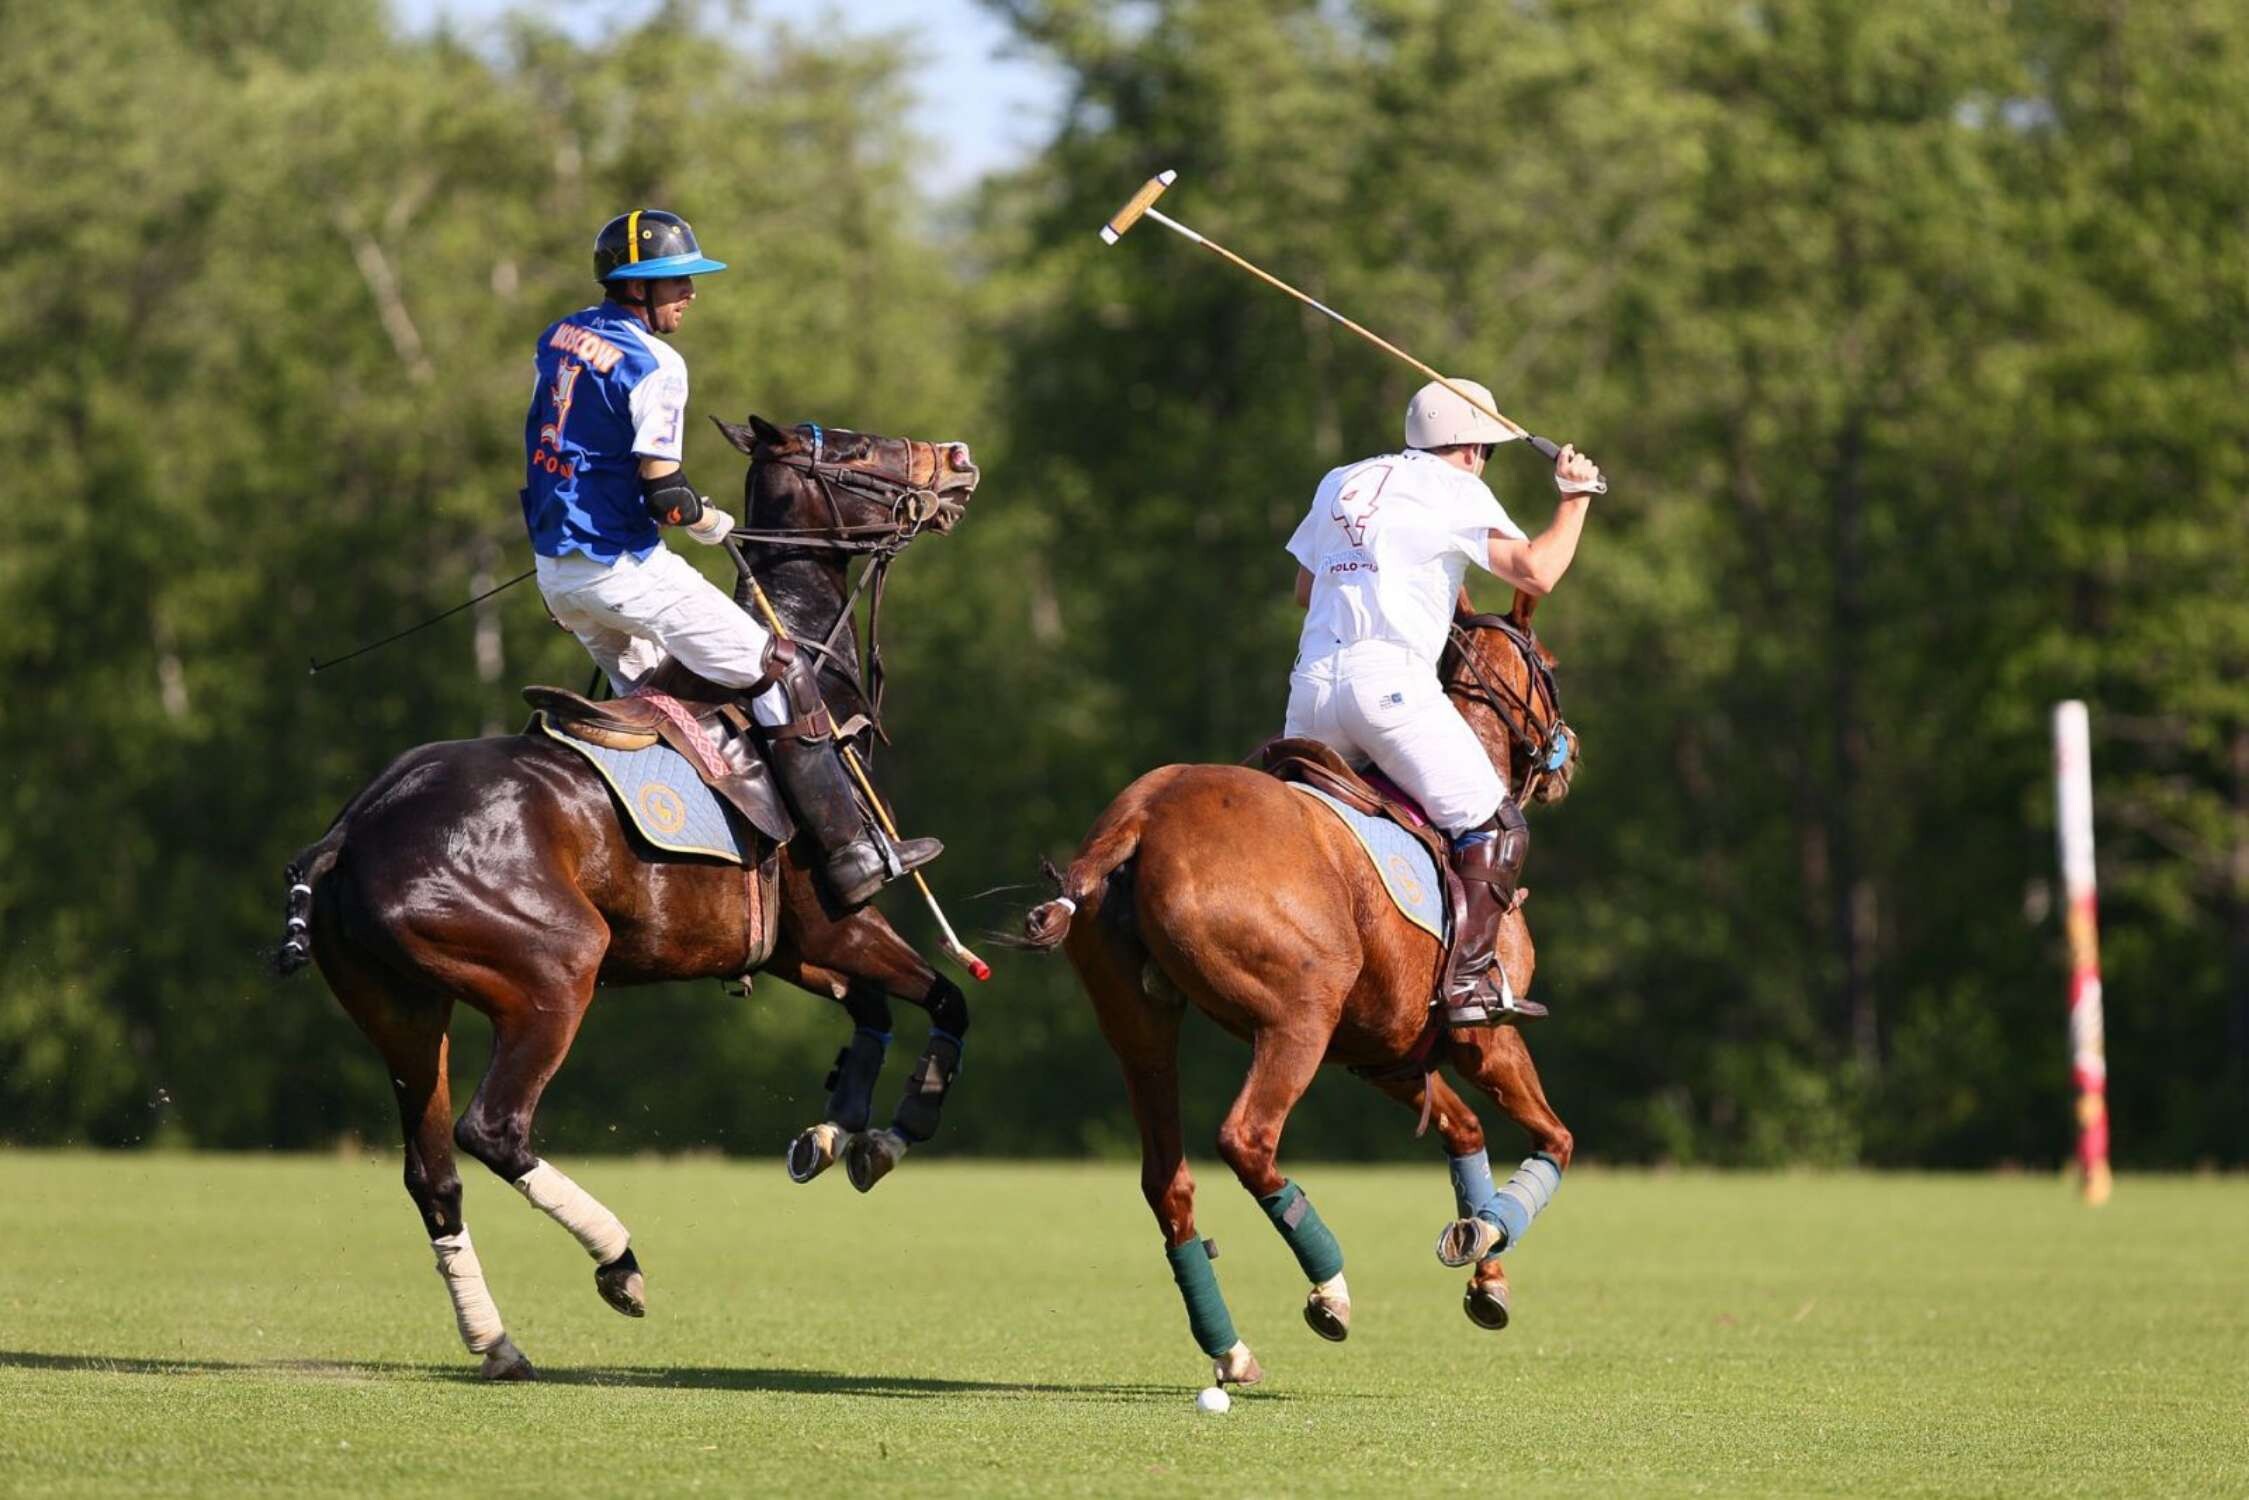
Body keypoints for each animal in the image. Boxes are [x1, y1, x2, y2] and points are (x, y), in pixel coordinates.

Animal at [272, 416, 976, 1376]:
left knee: (432, 1172)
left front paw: (831, 1133)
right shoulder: (839, 919)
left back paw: (497, 1342)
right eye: (854, 448)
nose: (959, 460)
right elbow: (945, 997)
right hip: (554, 971)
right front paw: (893, 1133)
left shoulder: (781, 945)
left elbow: (870, 1010)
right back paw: (619, 1261)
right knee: (494, 1130)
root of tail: (351, 830)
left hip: (402, 1010)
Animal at [1025, 593, 1583, 1394]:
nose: (1568, 749)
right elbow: (1554, 1139)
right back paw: (1329, 1290)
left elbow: (1464, 1131)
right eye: (1551, 666)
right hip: (1298, 1018)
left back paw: (1229, 1347)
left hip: (1140, 1027)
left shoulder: (1386, 1054)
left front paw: (1486, 1271)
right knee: (1246, 1139)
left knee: (1166, 1178)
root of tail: (1138, 821)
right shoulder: (1483, 1035)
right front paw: (1491, 1232)